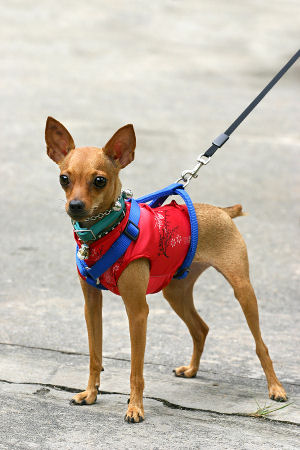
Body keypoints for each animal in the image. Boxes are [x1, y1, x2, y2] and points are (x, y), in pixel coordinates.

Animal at [45, 116, 288, 422]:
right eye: (64, 178)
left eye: (99, 180)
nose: (75, 206)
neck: (107, 233)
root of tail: (222, 211)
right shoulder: (92, 306)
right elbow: (95, 356)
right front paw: (90, 393)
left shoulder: (137, 312)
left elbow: (136, 369)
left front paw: (135, 407)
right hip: (176, 292)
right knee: (200, 329)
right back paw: (192, 369)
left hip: (242, 290)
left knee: (260, 345)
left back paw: (276, 388)